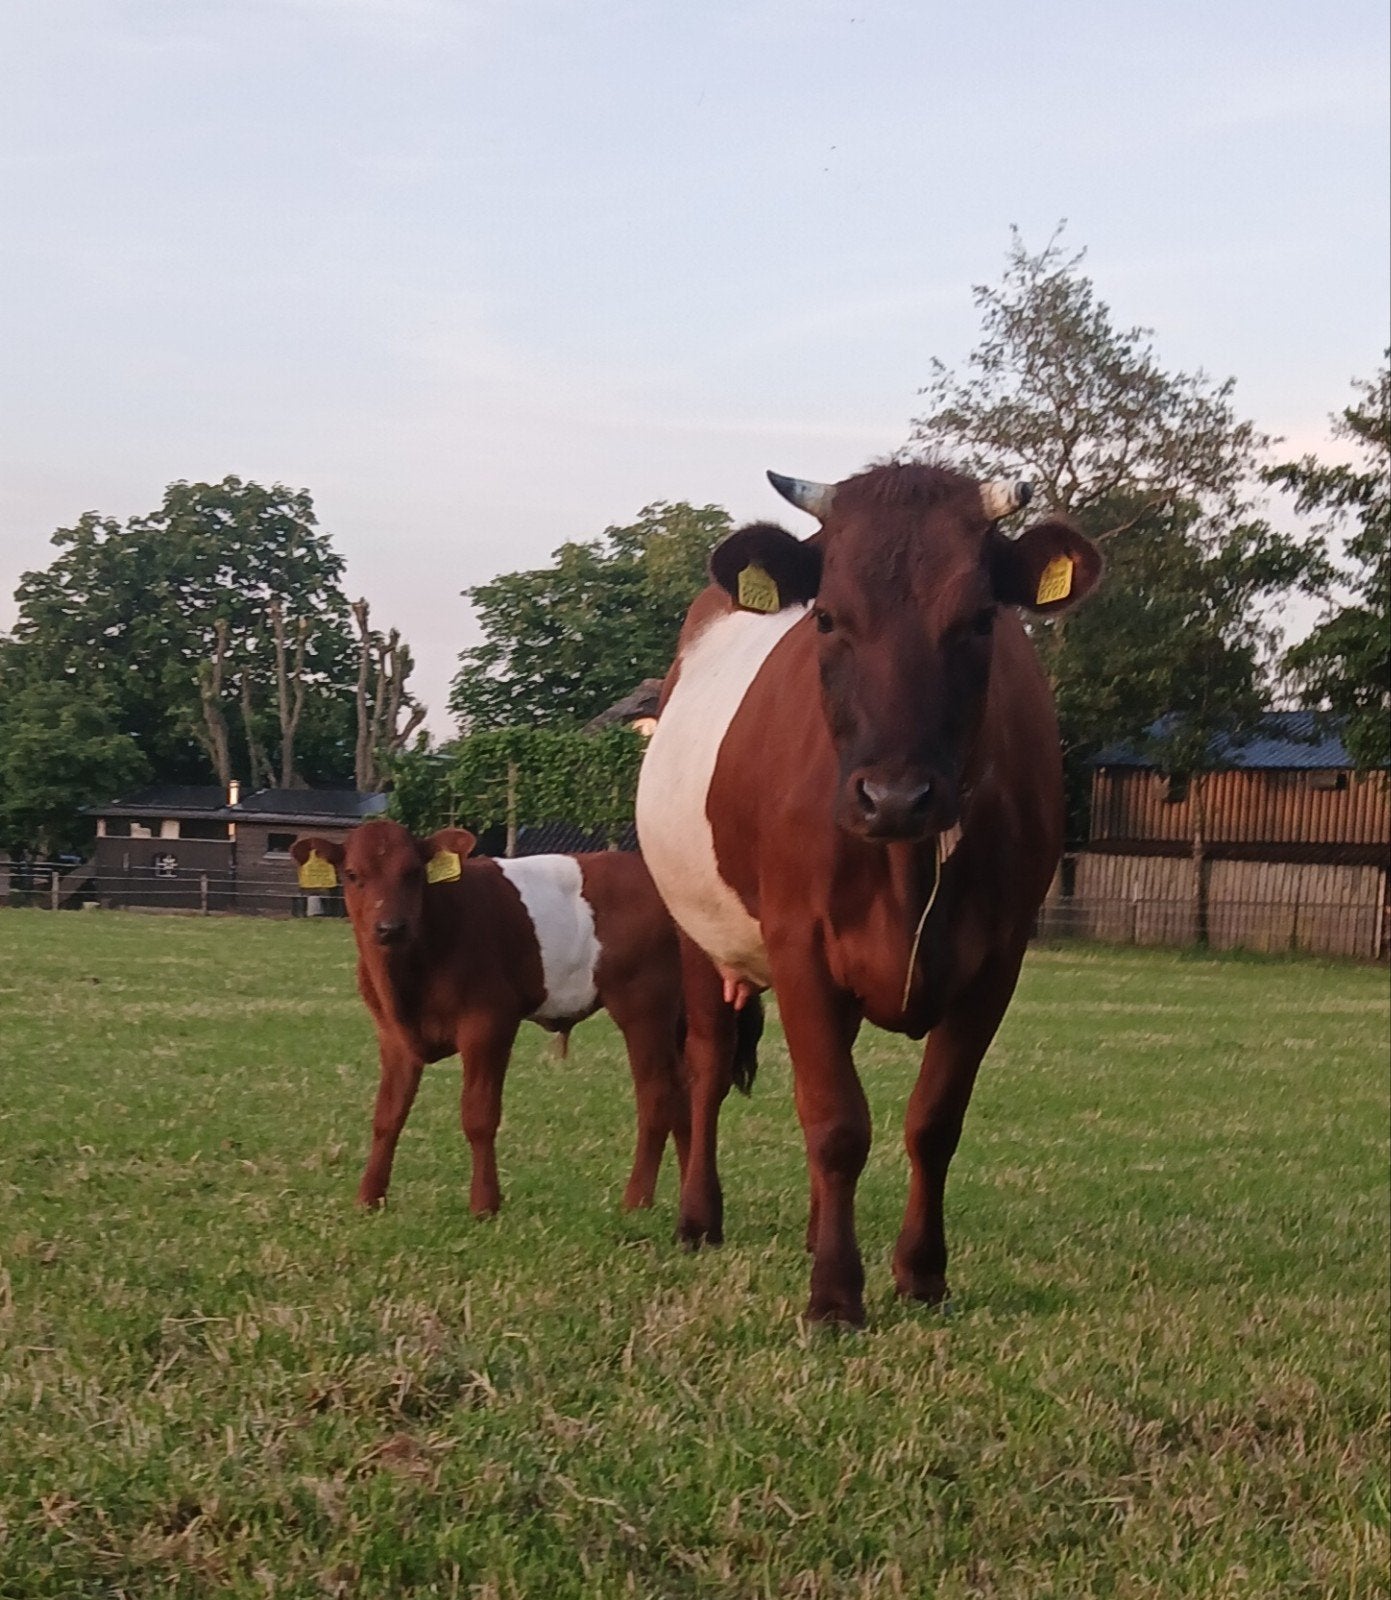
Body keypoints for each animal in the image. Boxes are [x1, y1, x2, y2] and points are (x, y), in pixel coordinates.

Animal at [289, 820, 725, 1216]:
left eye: (413, 872)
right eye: (352, 875)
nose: (390, 927)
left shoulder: (489, 1023)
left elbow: (479, 1114)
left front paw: (484, 1204)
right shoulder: (393, 1036)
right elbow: (387, 1115)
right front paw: (369, 1197)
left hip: (644, 1006)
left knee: (657, 1096)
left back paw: (636, 1201)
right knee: (683, 1094)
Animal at [635, 462, 1101, 1324]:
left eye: (979, 619)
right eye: (826, 618)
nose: (893, 798)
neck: (905, 866)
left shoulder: (998, 958)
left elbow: (933, 1121)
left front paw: (919, 1273)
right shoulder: (796, 942)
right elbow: (835, 1122)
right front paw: (833, 1295)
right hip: (695, 931)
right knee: (706, 1067)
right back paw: (698, 1219)